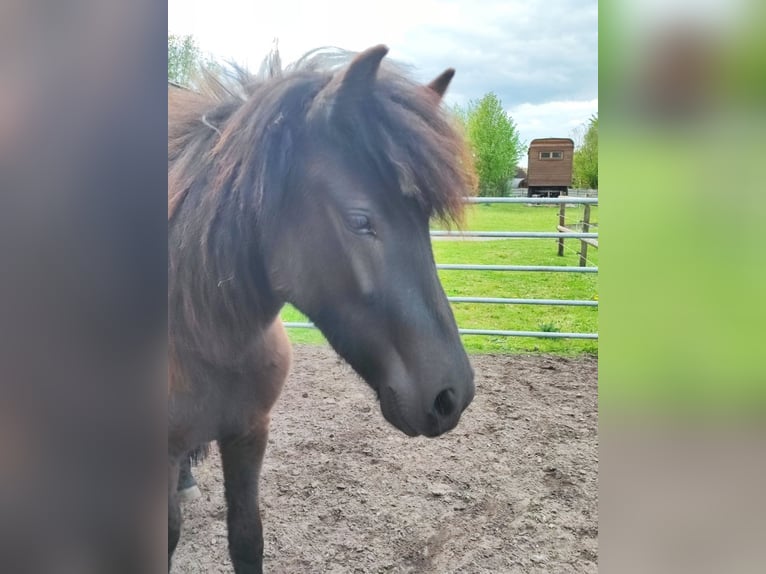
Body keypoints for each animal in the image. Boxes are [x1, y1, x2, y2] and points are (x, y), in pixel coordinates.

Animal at [168, 44, 477, 573]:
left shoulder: (249, 434)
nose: (451, 397)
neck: (206, 340)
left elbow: (247, 537)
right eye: (360, 220)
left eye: (422, 218)